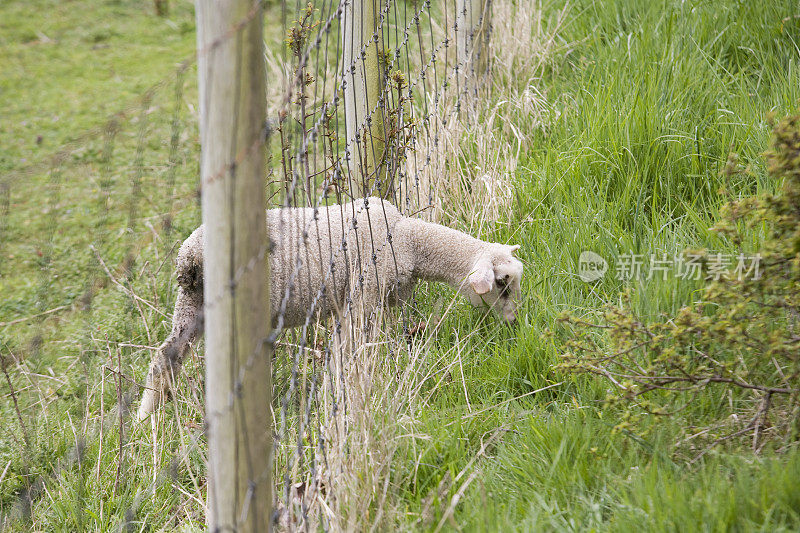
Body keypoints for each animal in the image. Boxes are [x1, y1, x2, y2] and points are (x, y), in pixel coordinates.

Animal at [138, 196, 524, 420]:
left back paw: (146, 422)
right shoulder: (363, 292)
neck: (409, 241)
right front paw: (334, 398)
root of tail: (189, 256)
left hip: (192, 305)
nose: (515, 324)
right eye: (502, 284)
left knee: (165, 357)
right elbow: (346, 350)